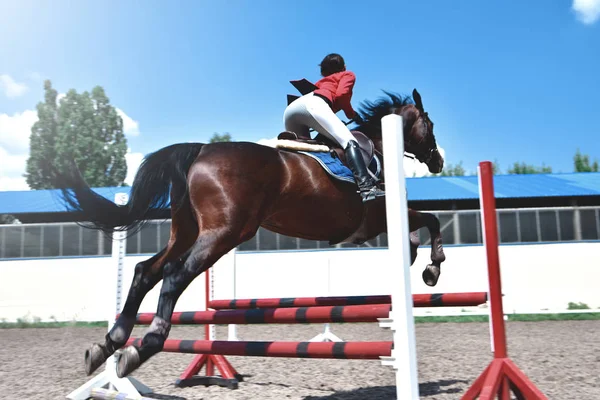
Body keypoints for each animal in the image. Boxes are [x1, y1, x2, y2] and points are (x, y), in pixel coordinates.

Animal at [51, 87, 446, 378]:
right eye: (429, 124)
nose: (439, 161)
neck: (379, 147)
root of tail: (201, 150)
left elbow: (419, 227)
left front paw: (415, 259)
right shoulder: (376, 219)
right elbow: (429, 219)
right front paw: (432, 268)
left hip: (187, 232)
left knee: (145, 271)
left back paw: (108, 345)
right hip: (225, 233)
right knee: (174, 274)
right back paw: (144, 345)